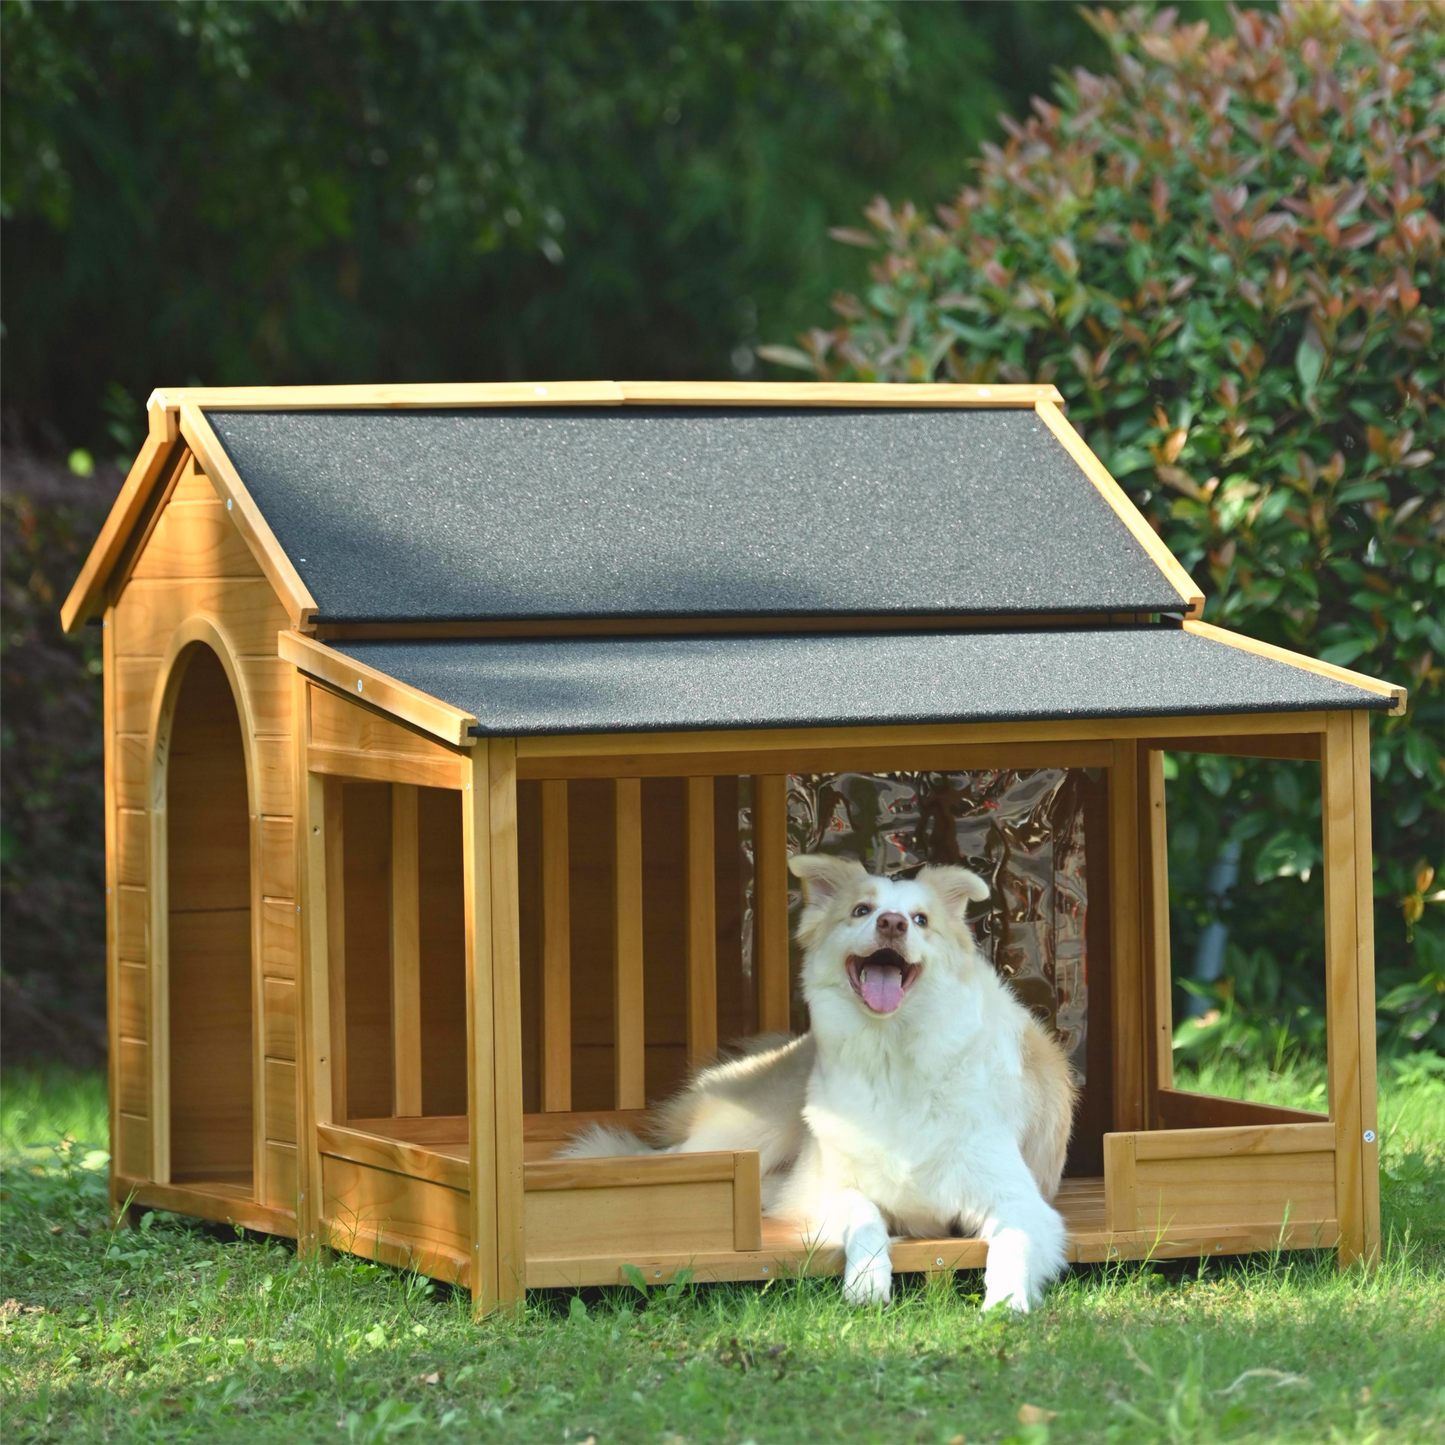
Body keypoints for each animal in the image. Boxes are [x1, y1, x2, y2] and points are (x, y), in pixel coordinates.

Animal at [560, 849, 1075, 1317]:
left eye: (920, 920)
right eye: (861, 910)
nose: (892, 924)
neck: (893, 1057)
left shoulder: (1019, 1199)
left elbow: (1012, 1243)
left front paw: (1006, 1302)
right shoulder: (834, 1188)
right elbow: (865, 1218)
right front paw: (866, 1283)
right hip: (754, 1129)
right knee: (666, 1157)